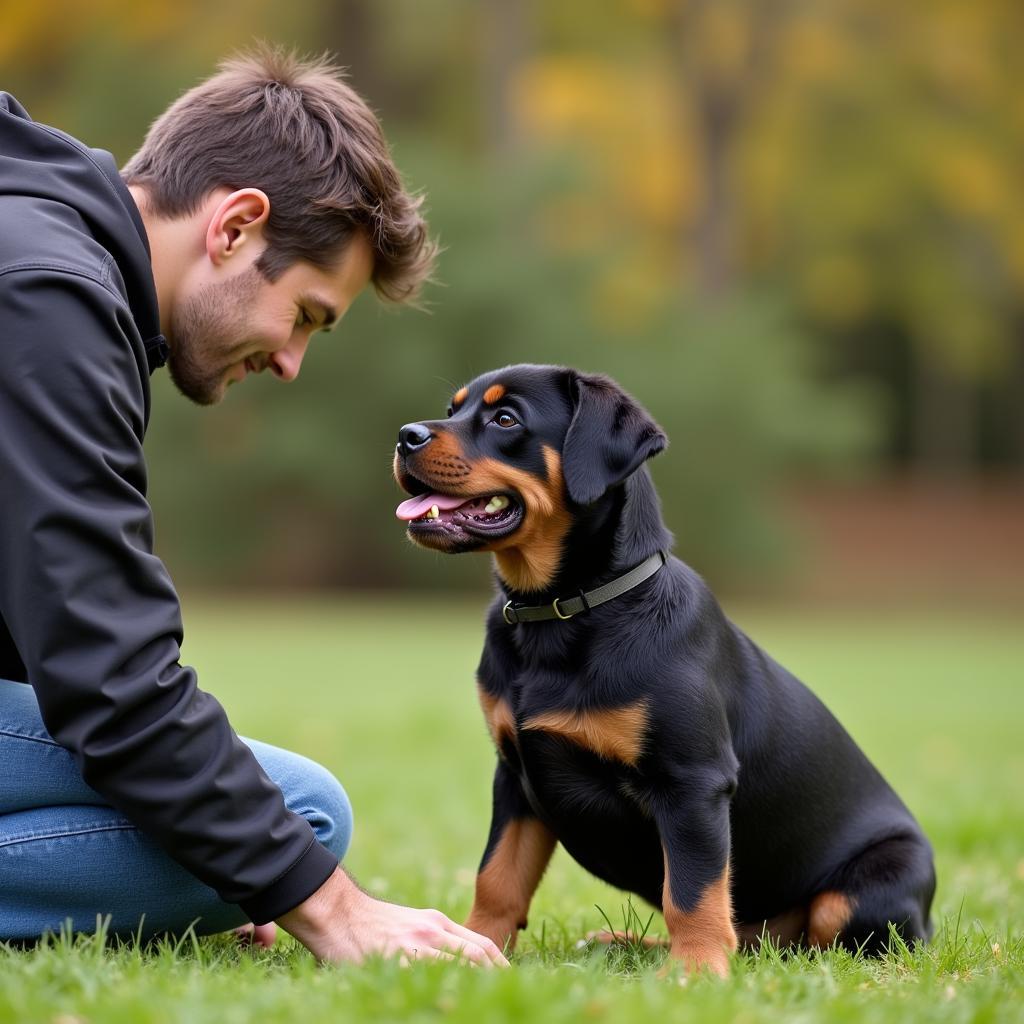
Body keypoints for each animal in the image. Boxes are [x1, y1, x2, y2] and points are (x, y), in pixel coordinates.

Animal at [391, 362, 937, 974]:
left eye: (506, 418)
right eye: (453, 408)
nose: (406, 435)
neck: (558, 614)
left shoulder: (691, 782)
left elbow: (693, 889)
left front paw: (695, 973)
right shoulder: (514, 776)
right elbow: (498, 877)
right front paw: (470, 948)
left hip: (874, 885)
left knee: (819, 943)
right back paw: (625, 942)